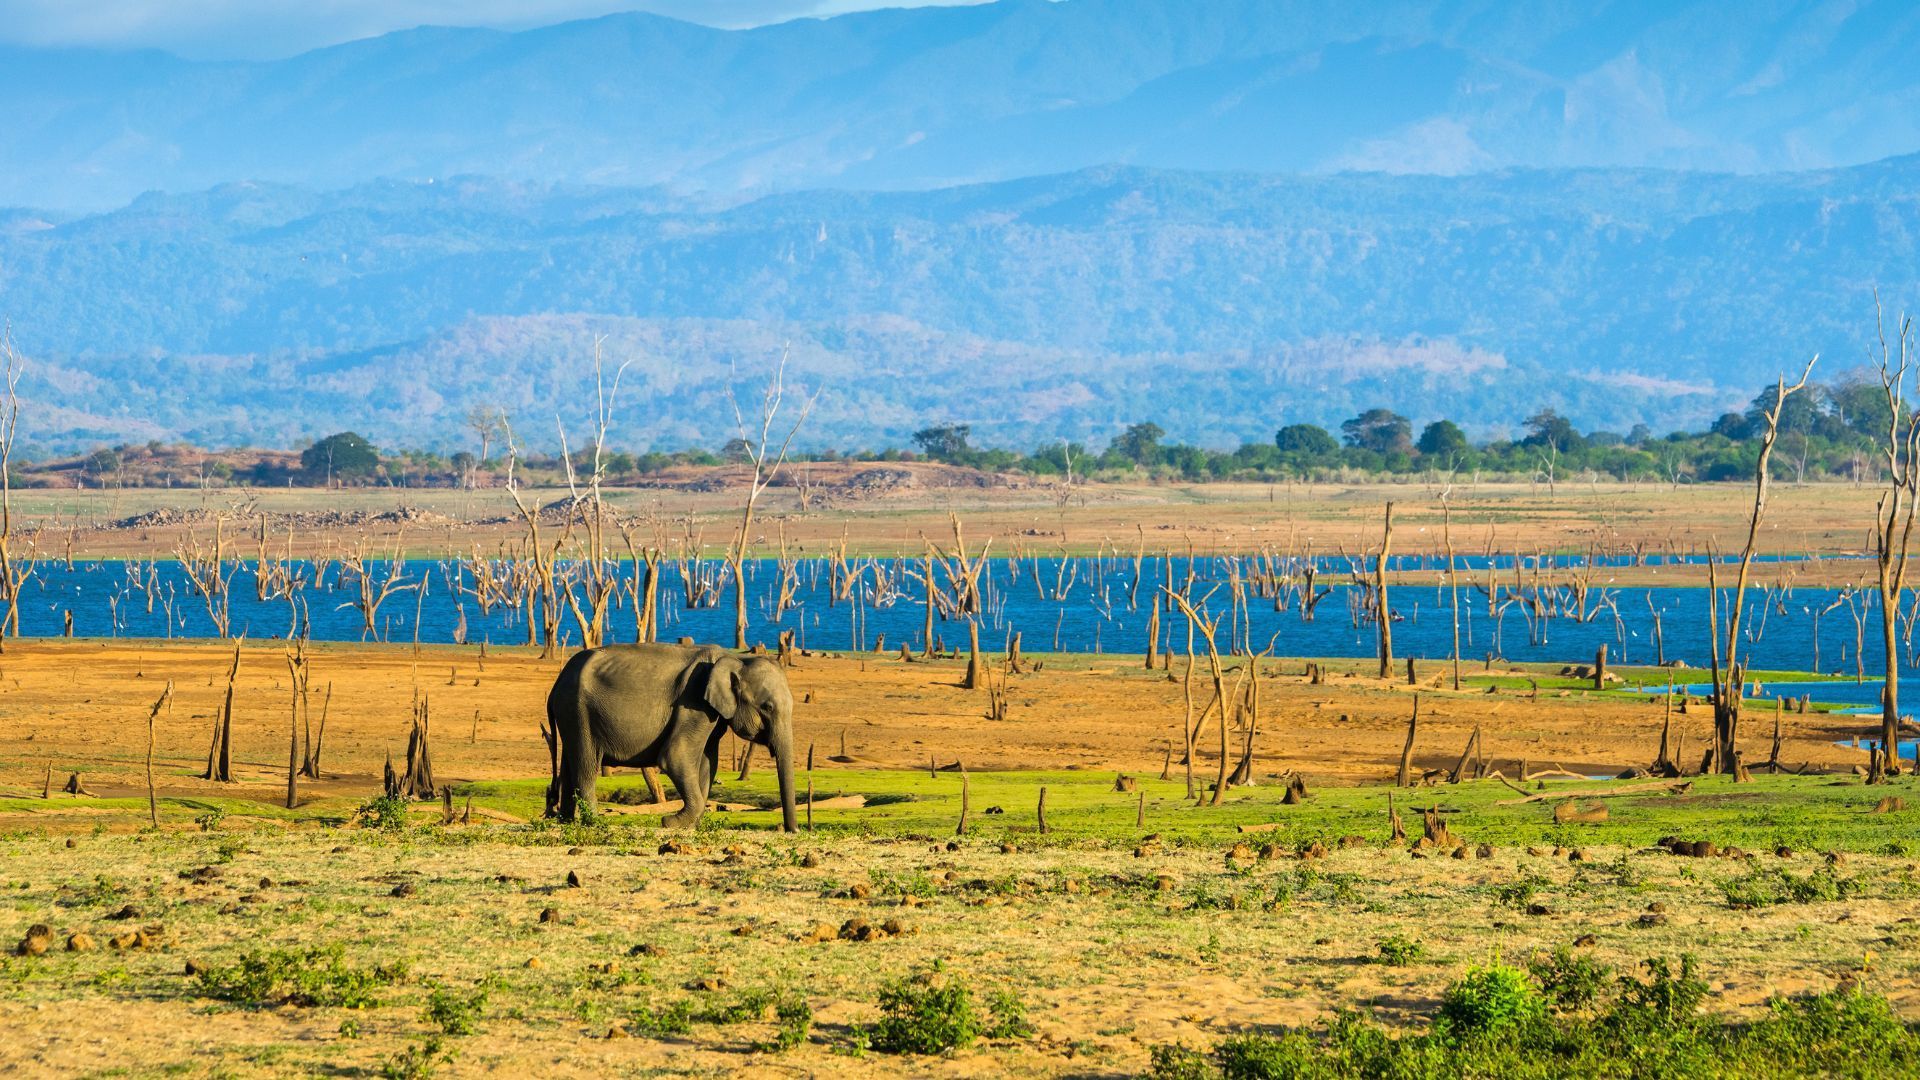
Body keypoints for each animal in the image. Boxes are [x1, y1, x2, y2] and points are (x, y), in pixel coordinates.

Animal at [549, 641, 794, 826]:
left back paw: (567, 821)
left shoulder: (711, 715)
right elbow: (675, 756)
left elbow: (708, 763)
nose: (790, 830)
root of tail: (557, 683)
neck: (734, 659)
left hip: (572, 715)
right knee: (586, 766)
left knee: (570, 764)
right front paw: (671, 822)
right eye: (767, 707)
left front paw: (690, 825)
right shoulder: (693, 703)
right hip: (578, 710)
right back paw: (593, 822)